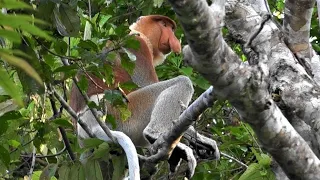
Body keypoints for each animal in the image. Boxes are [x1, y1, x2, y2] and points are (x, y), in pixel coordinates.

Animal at [69, 14, 219, 179]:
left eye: (171, 28)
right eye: (164, 25)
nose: (174, 38)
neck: (139, 33)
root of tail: (89, 121)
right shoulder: (138, 46)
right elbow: (146, 84)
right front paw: (201, 140)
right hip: (125, 113)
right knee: (182, 82)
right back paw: (155, 136)